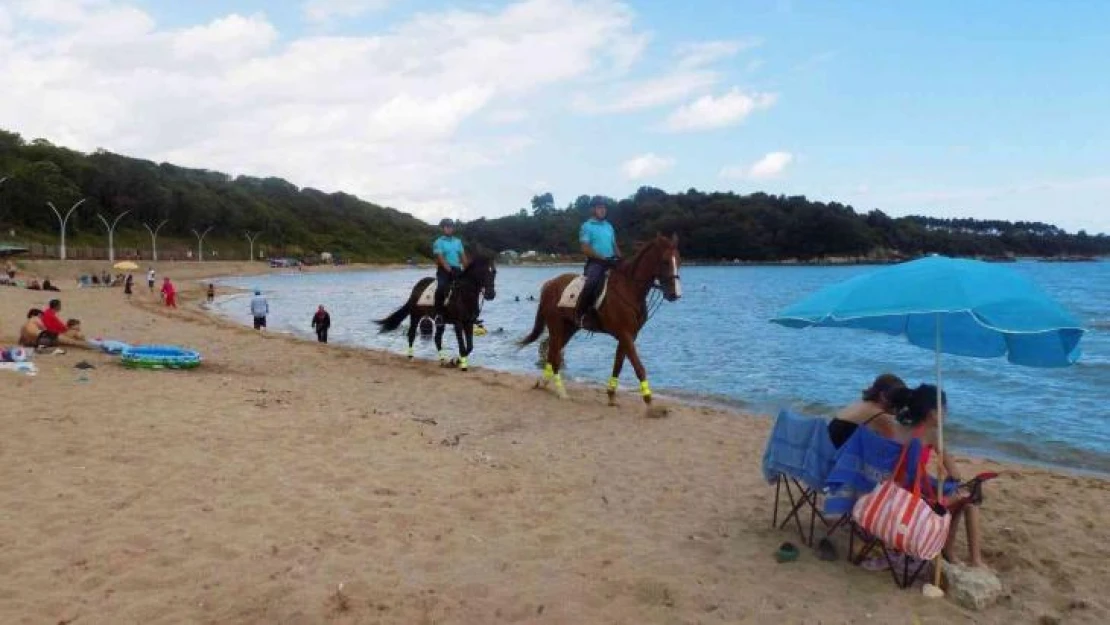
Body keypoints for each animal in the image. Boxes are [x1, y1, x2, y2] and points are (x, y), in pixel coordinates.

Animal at [515, 235, 679, 406]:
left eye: (678, 260)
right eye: (665, 261)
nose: (674, 294)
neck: (629, 289)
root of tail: (549, 284)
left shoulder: (629, 335)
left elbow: (618, 364)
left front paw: (611, 394)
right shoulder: (625, 334)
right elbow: (638, 367)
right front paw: (648, 400)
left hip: (569, 328)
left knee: (552, 353)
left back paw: (544, 383)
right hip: (556, 326)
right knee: (554, 355)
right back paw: (561, 392)